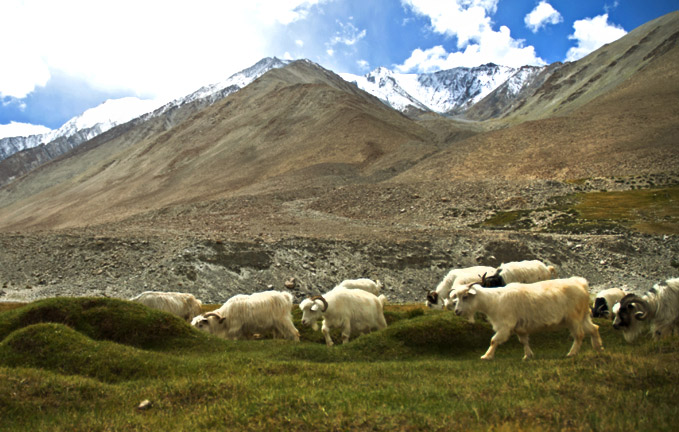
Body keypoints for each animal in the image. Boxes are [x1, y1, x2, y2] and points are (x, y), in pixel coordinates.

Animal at [448, 276, 604, 362]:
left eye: (465, 296)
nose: (457, 311)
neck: (494, 300)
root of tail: (582, 285)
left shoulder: (505, 325)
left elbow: (494, 340)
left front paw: (486, 356)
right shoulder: (520, 327)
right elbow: (524, 341)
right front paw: (528, 356)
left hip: (574, 318)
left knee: (579, 335)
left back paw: (571, 353)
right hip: (583, 316)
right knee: (594, 329)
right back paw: (598, 348)